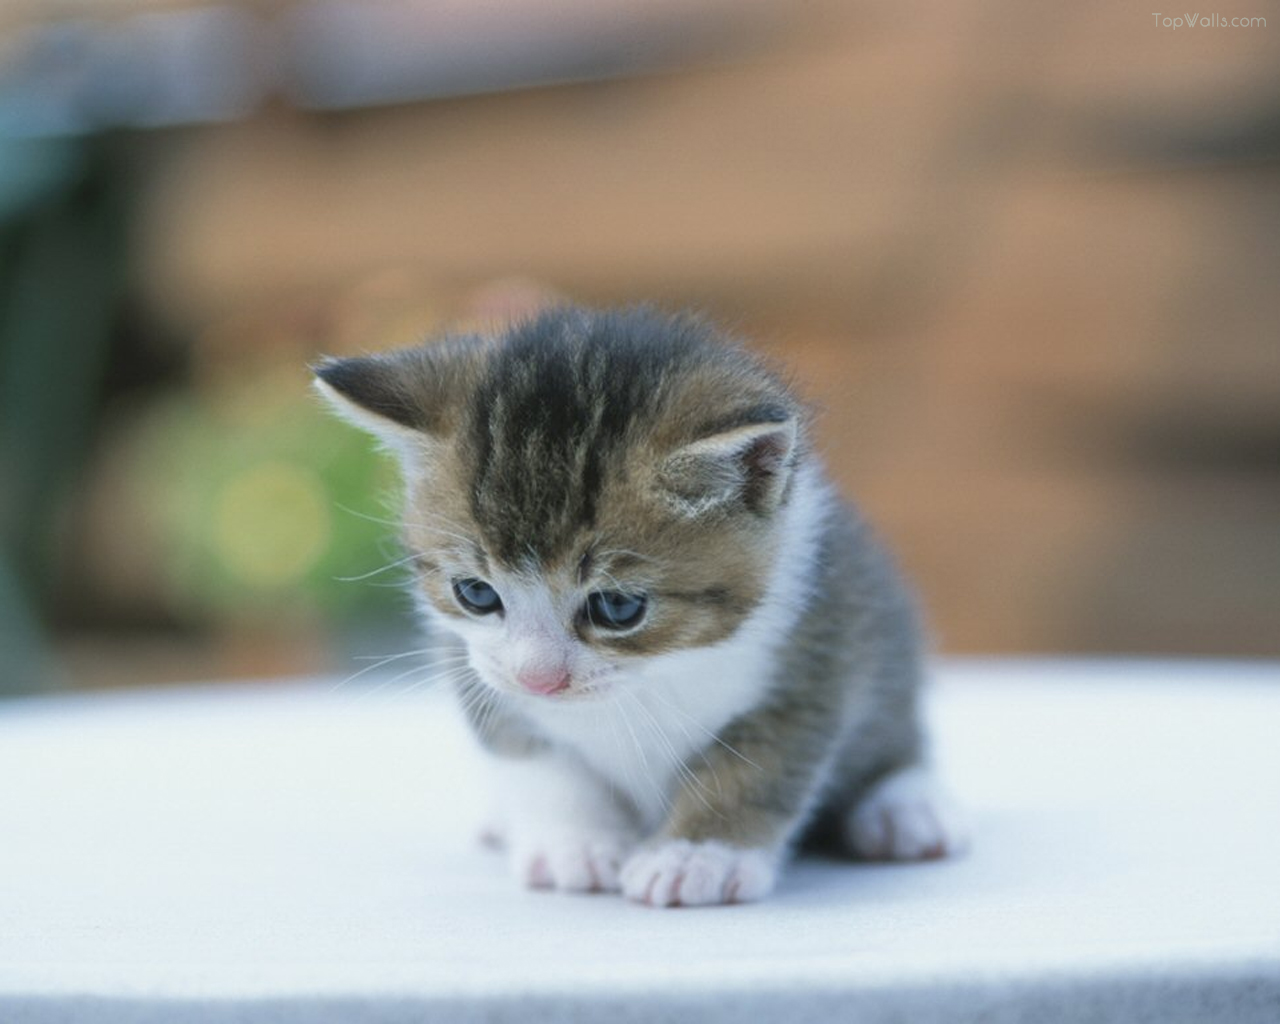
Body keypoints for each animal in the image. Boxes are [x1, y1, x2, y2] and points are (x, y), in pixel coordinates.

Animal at [314, 308, 962, 906]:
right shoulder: (473, 666)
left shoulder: (813, 650)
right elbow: (535, 758)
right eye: (476, 594)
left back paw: (904, 807)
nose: (539, 680)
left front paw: (699, 855)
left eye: (618, 607)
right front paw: (574, 843)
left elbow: (759, 766)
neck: (647, 677)